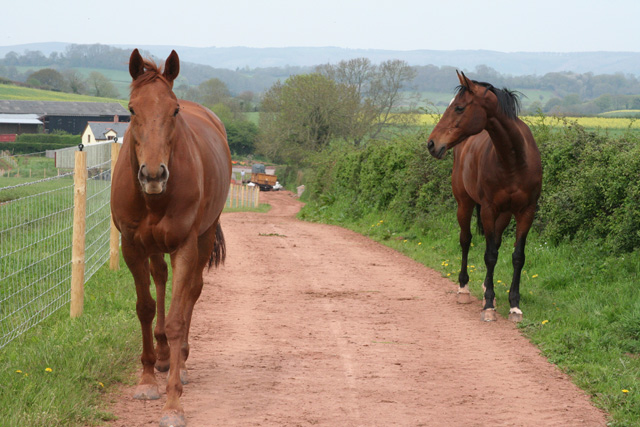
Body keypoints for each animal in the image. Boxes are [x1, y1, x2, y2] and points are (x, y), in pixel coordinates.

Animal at [111, 48, 231, 426]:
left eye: (174, 110)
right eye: (132, 109)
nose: (153, 174)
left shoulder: (185, 246)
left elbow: (179, 316)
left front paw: (174, 402)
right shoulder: (132, 246)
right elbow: (145, 308)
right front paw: (148, 379)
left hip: (204, 236)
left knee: (192, 291)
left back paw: (181, 360)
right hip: (152, 246)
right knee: (160, 278)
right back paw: (164, 355)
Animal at [428, 72, 544, 322]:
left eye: (459, 107)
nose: (431, 143)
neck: (514, 160)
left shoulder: (526, 211)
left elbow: (517, 256)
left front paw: (514, 305)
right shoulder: (489, 209)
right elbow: (489, 255)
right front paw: (489, 305)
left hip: (504, 214)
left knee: (496, 243)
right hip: (465, 204)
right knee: (466, 240)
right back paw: (464, 289)